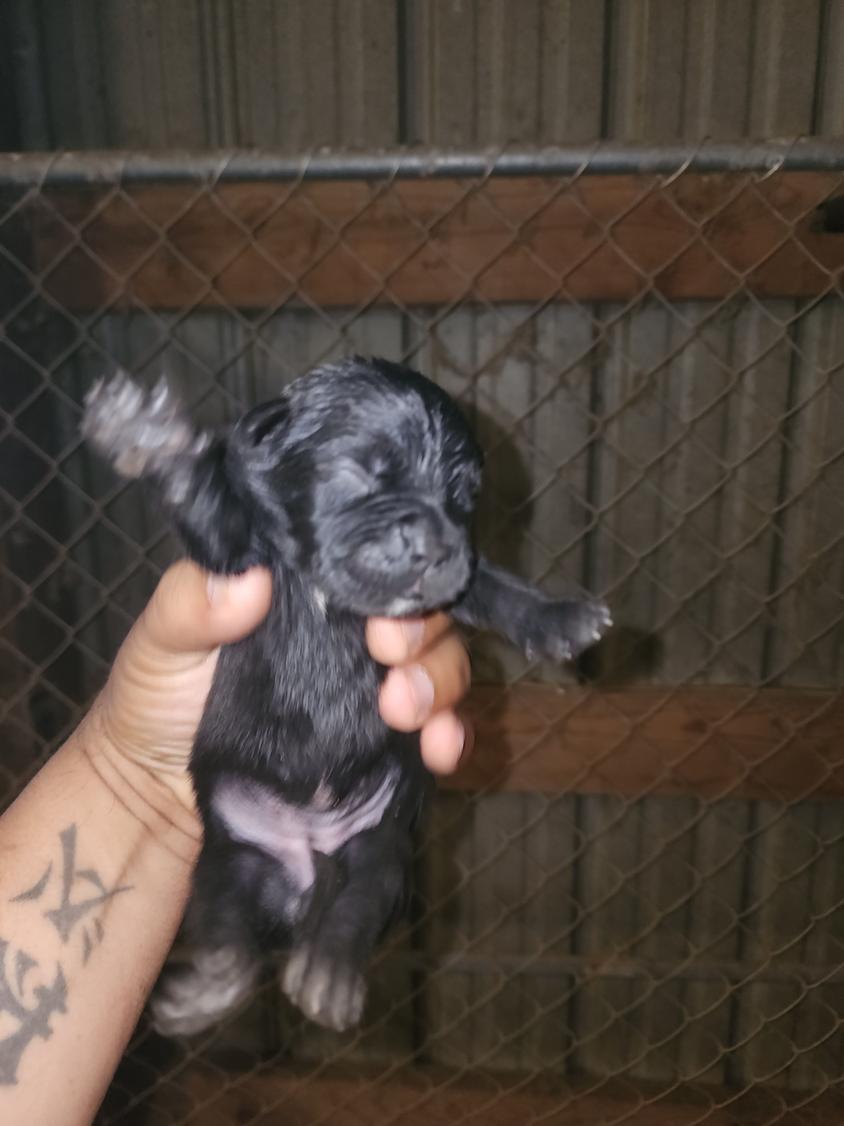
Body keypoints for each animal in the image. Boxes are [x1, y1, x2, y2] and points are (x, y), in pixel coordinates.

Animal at [82, 360, 612, 1035]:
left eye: (463, 496)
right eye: (363, 471)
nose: (434, 548)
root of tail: (306, 865)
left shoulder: (456, 582)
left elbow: (491, 583)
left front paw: (561, 618)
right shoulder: (240, 560)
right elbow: (216, 511)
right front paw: (155, 441)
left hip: (383, 847)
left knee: (359, 904)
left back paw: (326, 977)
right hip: (225, 857)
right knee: (227, 925)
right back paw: (212, 989)